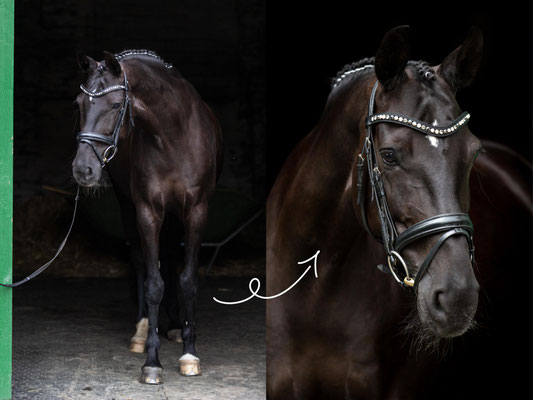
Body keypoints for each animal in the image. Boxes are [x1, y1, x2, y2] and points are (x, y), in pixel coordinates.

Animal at [71, 50, 221, 384]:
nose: (83, 170)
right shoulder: (147, 211)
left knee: (172, 257)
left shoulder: (197, 211)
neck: (172, 135)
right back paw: (140, 332)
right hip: (129, 206)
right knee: (140, 261)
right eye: (79, 103)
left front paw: (189, 354)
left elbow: (188, 279)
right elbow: (154, 282)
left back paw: (176, 326)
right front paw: (152, 361)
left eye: (116, 105)